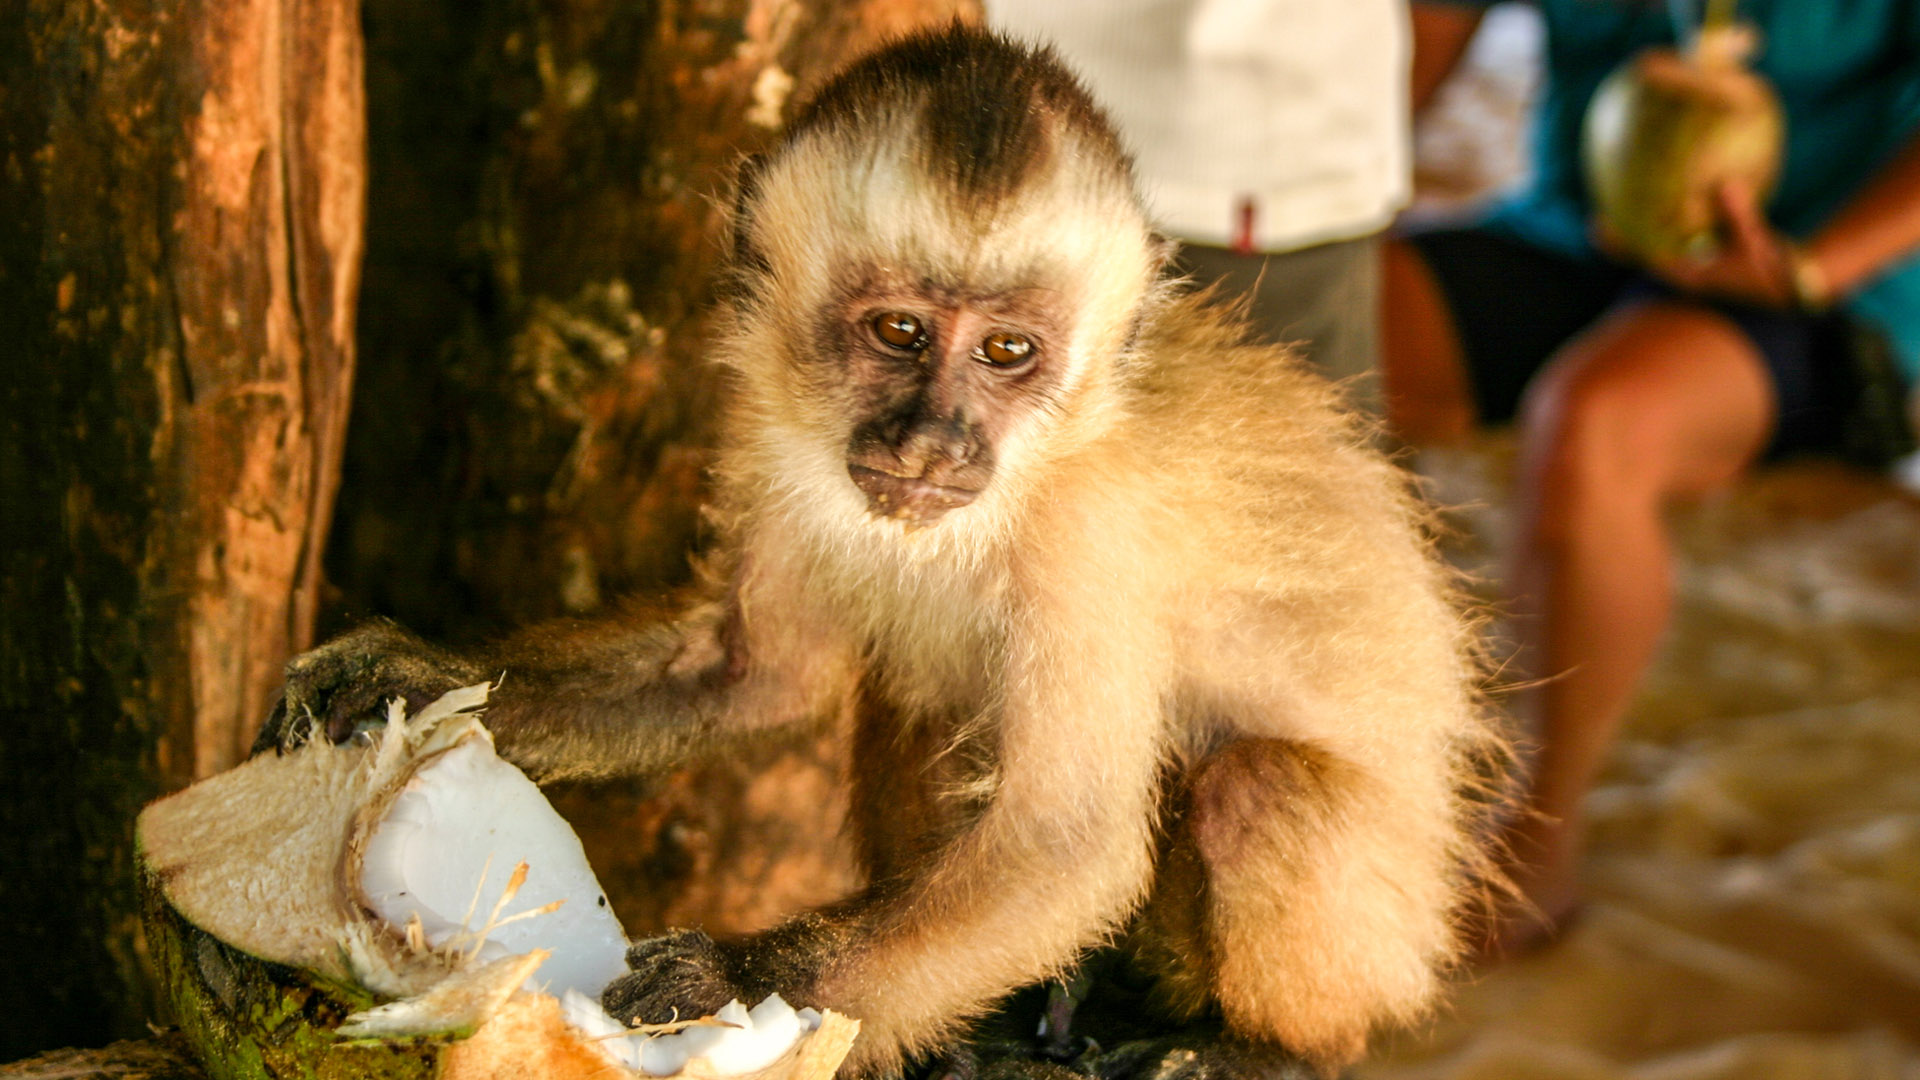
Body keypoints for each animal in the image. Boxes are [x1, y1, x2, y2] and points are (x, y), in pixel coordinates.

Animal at [255, 25, 1505, 1076]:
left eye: (1008, 352)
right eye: (900, 332)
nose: (935, 440)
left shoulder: (1090, 529)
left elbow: (1065, 848)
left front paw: (732, 983)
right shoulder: (767, 424)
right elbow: (751, 676)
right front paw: (420, 675)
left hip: (1385, 942)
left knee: (1258, 789)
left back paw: (1252, 1045)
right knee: (912, 695)